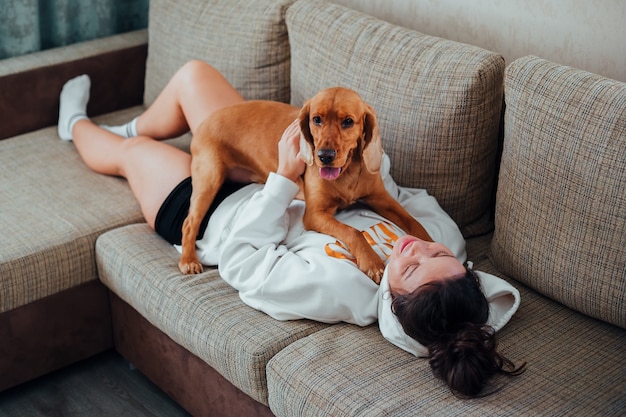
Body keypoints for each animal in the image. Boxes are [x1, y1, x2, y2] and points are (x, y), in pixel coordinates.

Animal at [176, 87, 428, 282]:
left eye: (348, 122)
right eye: (316, 119)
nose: (324, 156)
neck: (347, 173)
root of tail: (204, 121)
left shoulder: (382, 199)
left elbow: (414, 222)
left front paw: (431, 244)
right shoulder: (315, 214)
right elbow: (353, 232)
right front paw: (372, 261)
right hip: (209, 178)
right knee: (189, 223)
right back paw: (188, 260)